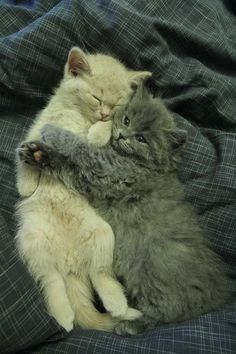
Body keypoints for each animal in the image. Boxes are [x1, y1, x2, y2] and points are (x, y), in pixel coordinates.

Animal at [15, 46, 151, 332]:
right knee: (51, 280)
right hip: (32, 241)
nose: (103, 114)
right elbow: (22, 154)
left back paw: (117, 305)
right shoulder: (37, 127)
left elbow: (106, 135)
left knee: (100, 274)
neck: (77, 114)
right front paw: (26, 186)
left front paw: (97, 133)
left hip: (103, 234)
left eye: (116, 105)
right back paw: (64, 314)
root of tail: (70, 263)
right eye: (96, 97)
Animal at [19, 85, 231, 334]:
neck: (146, 165)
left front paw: (53, 132)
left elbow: (81, 149)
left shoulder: (107, 170)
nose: (122, 135)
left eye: (141, 139)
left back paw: (129, 323)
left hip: (154, 282)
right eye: (127, 119)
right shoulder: (90, 179)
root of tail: (218, 294)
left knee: (167, 313)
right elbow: (66, 165)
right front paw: (37, 154)